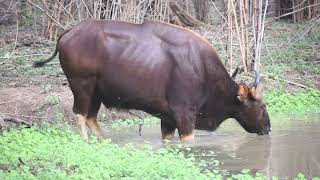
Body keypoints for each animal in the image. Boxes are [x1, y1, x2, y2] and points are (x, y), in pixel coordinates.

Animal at [34, 19, 270, 141]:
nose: (268, 128)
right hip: (82, 87)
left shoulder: (168, 119)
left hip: (96, 93)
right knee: (81, 115)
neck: (204, 72)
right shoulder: (185, 116)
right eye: (262, 106)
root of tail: (67, 33)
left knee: (91, 117)